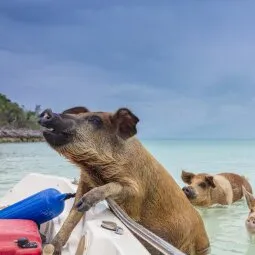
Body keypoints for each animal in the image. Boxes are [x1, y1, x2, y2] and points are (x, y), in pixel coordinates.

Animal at [38, 106, 209, 255]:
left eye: (95, 120)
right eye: (80, 115)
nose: (48, 112)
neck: (97, 170)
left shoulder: (136, 192)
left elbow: (116, 187)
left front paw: (86, 202)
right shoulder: (85, 180)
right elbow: (73, 213)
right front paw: (52, 247)